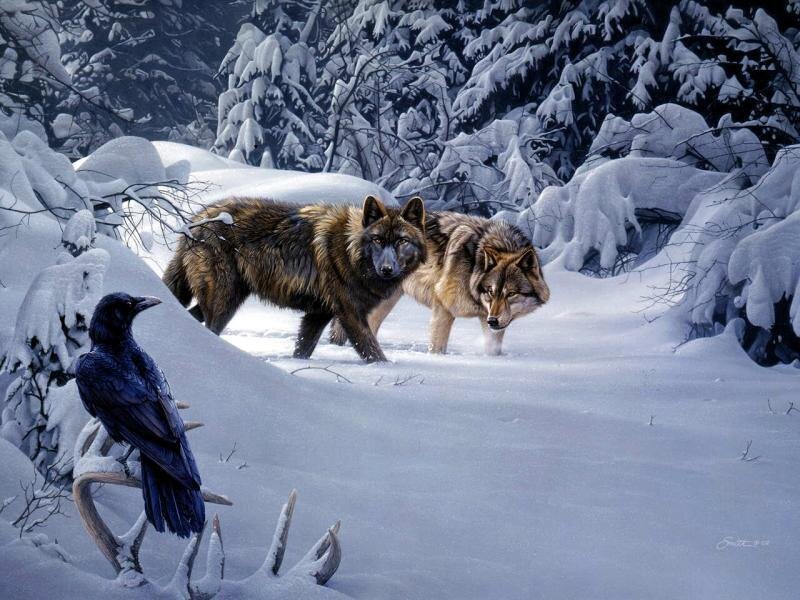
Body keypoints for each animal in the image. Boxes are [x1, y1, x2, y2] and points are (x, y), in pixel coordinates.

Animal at [163, 195, 426, 362]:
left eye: (402, 241)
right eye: (378, 240)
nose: (387, 269)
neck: (349, 249)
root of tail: (195, 221)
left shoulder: (319, 314)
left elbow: (303, 348)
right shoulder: (349, 314)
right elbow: (373, 352)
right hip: (223, 302)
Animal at [330, 212, 549, 355]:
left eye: (510, 294)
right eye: (491, 291)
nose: (493, 321)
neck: (474, 266)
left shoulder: (488, 318)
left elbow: (493, 349)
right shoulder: (443, 308)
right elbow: (437, 348)